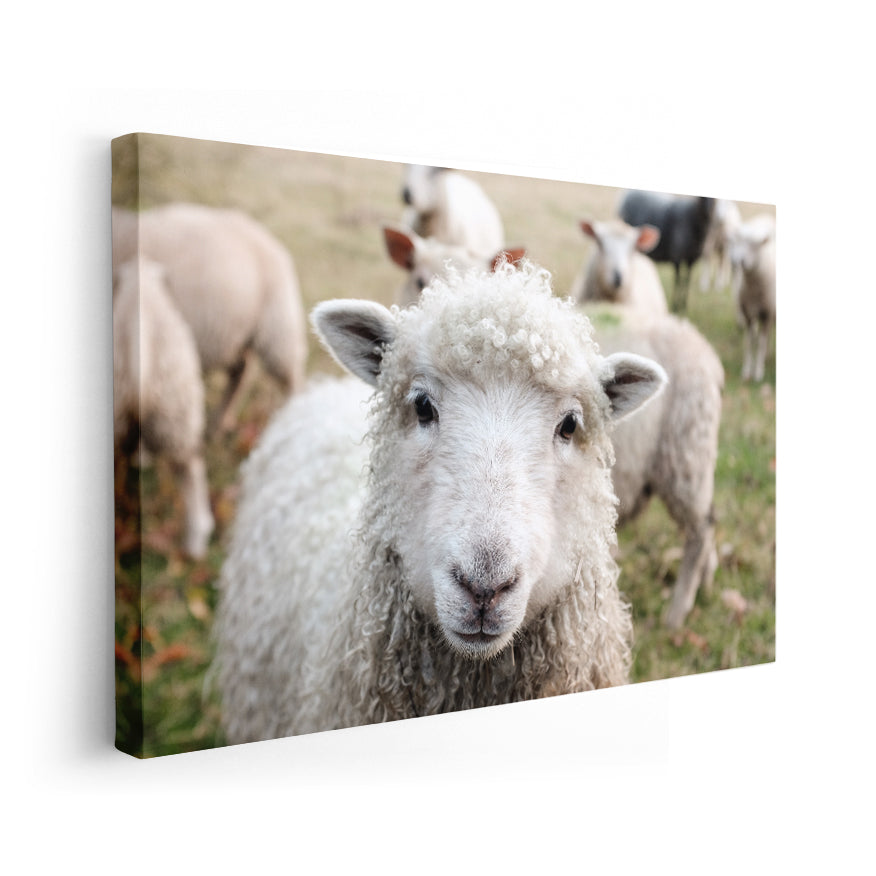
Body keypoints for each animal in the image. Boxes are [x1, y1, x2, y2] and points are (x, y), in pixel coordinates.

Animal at [727, 214, 776, 382]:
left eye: (755, 245)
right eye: (737, 242)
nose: (738, 261)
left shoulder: (767, 314)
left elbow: (760, 343)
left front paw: (759, 372)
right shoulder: (747, 314)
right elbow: (748, 343)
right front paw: (747, 370)